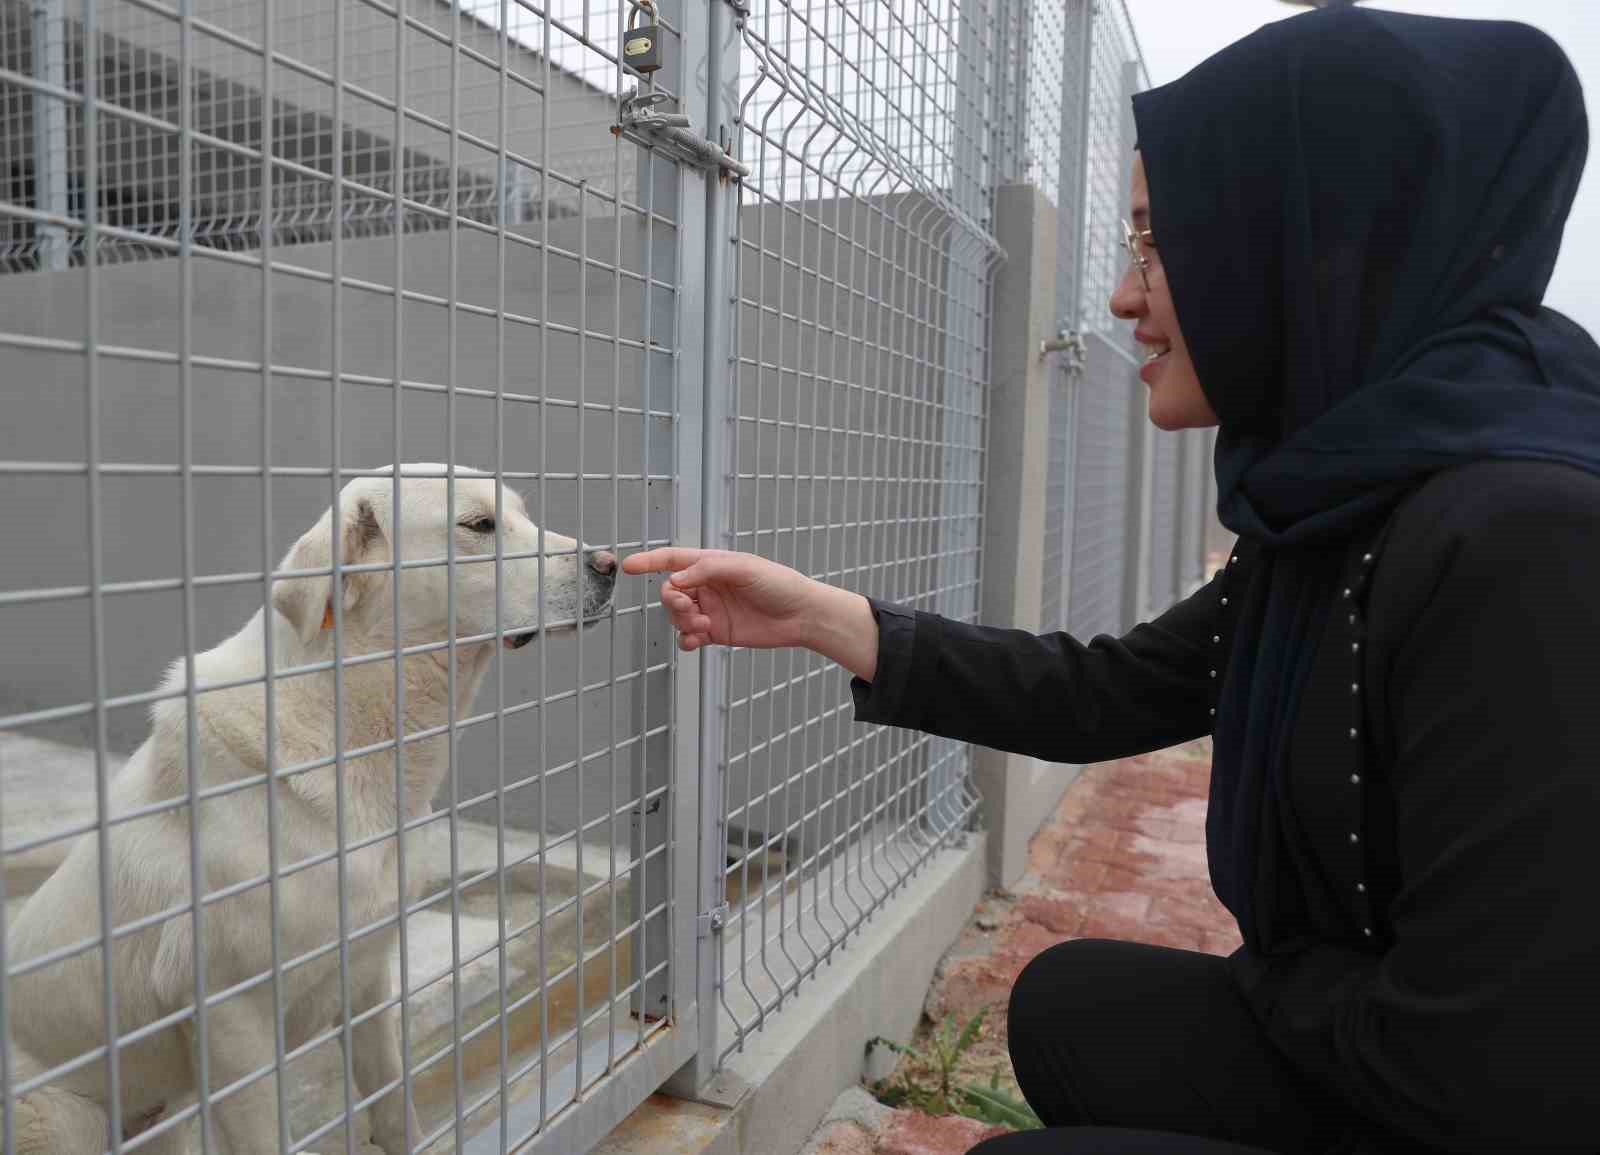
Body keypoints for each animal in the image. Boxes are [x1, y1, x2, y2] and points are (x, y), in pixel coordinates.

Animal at [6, 463, 617, 1145]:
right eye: (480, 525)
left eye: (520, 514)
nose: (611, 564)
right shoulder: (233, 1017)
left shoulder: (368, 978)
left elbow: (395, 1105)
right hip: (70, 1118)